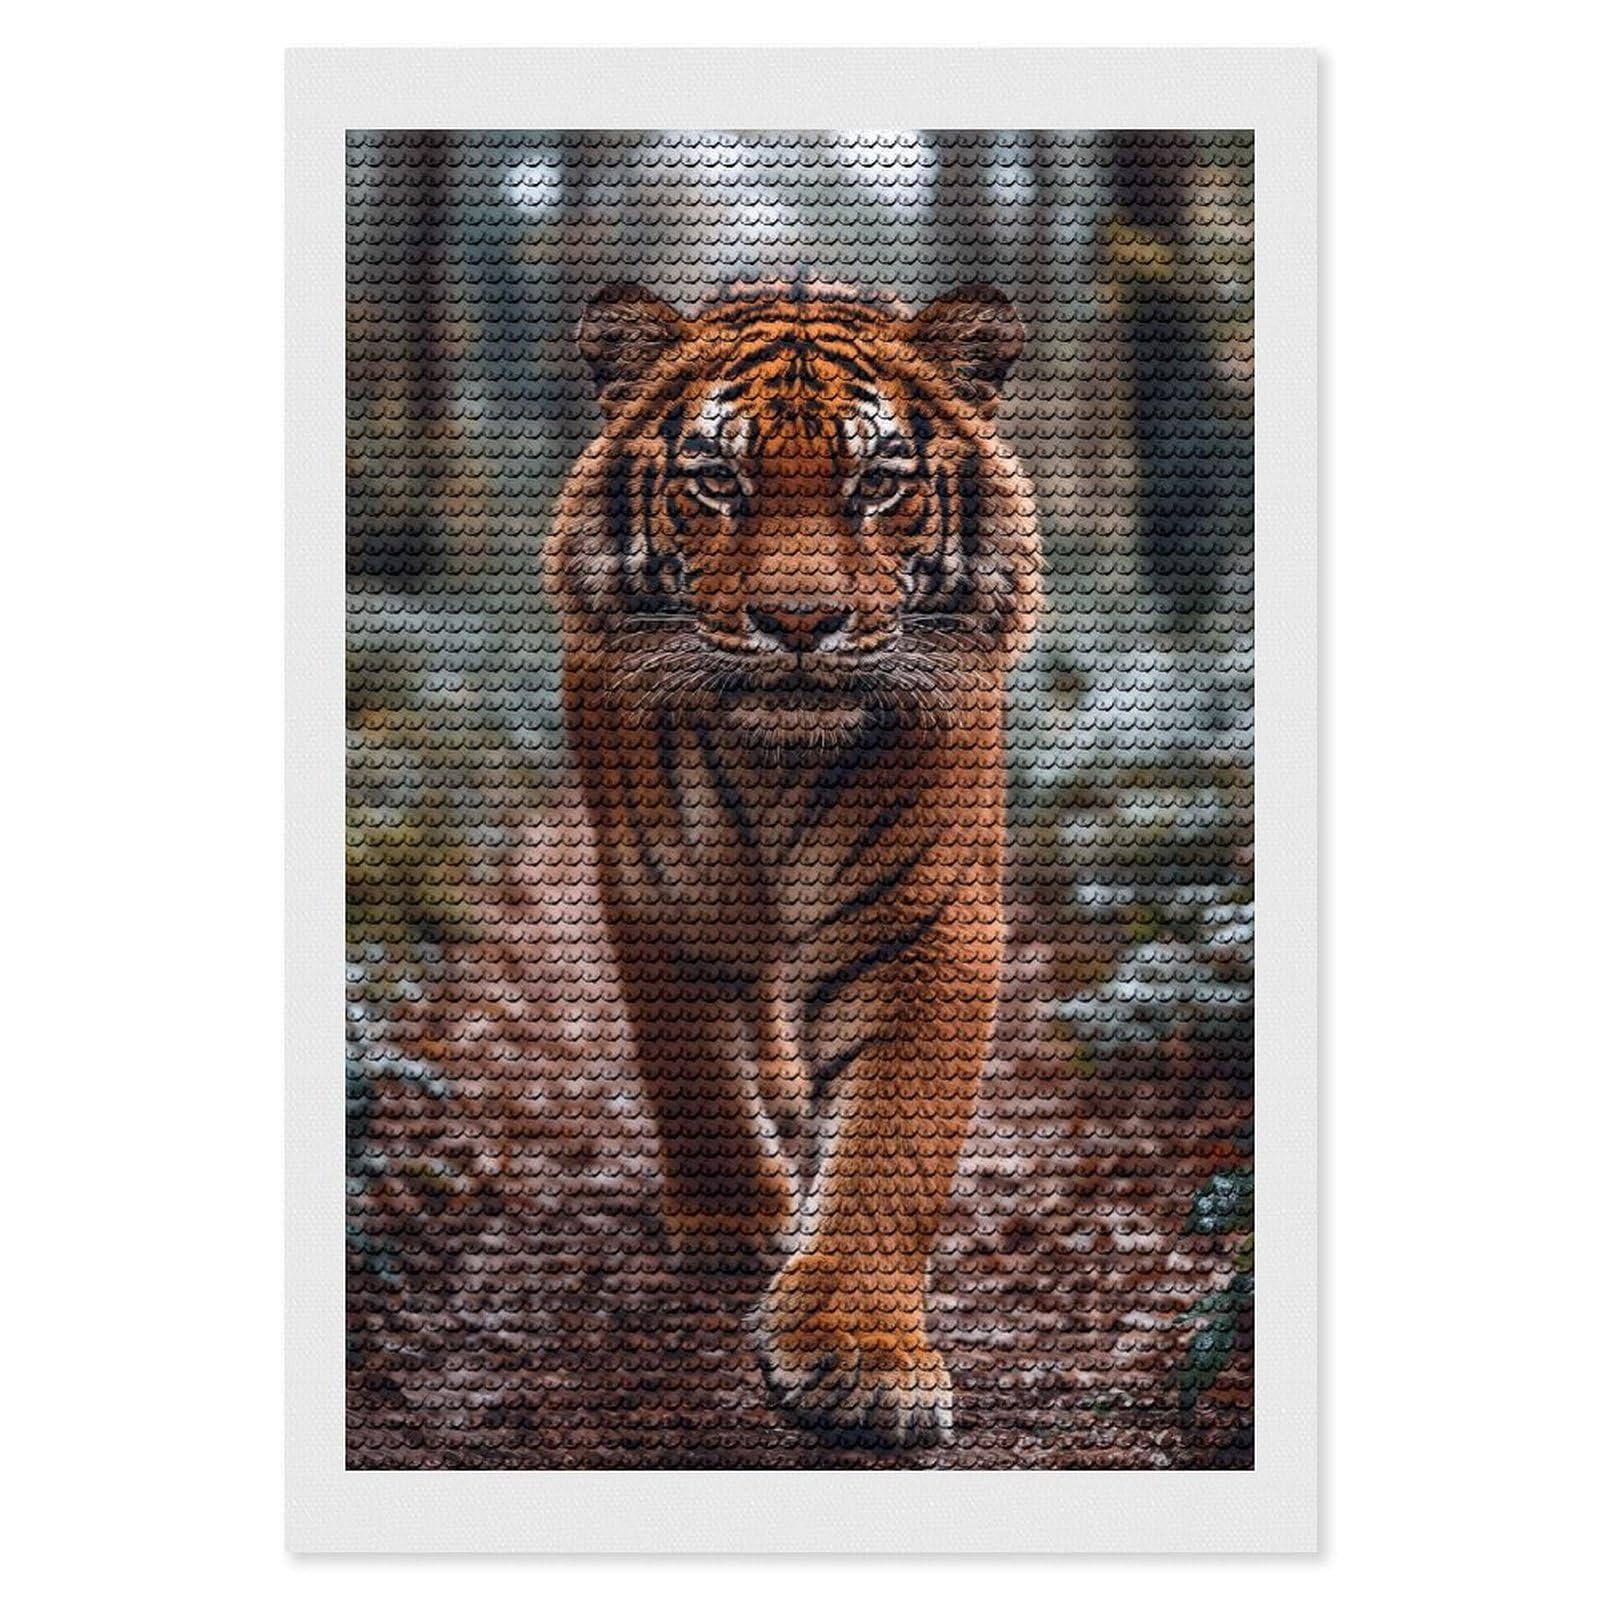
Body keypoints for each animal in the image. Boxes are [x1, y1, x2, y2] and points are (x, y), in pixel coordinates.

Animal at [547, 280, 1041, 1447]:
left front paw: (862, 1352)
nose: (800, 622)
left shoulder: (926, 919)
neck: (778, 756)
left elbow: (894, 1141)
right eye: (717, 482)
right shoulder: (663, 887)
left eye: (879, 484)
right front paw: (732, 1214)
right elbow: (689, 1061)